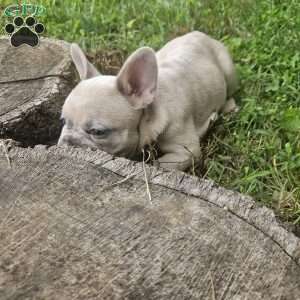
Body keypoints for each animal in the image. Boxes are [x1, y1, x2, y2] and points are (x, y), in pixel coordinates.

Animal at [57, 31, 238, 171]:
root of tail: (202, 35)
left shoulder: (187, 151)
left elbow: (161, 164)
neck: (151, 113)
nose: (67, 142)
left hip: (229, 72)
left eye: (98, 132)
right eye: (64, 121)